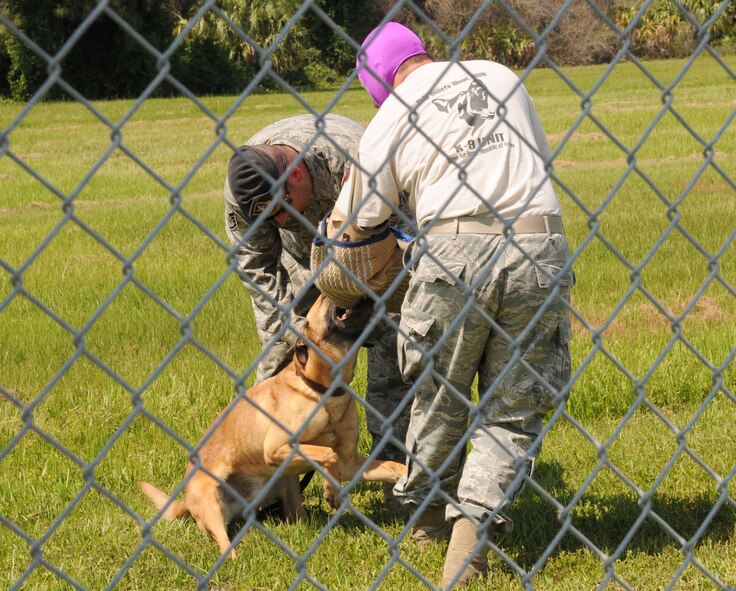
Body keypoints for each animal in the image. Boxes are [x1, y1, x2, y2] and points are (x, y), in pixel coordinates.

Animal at [138, 294, 408, 560]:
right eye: (323, 299)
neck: (323, 391)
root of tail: (186, 500)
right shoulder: (277, 448)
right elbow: (328, 454)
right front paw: (331, 490)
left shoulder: (349, 462)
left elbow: (393, 466)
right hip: (211, 501)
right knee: (223, 542)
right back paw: (232, 559)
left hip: (285, 481)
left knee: (295, 516)